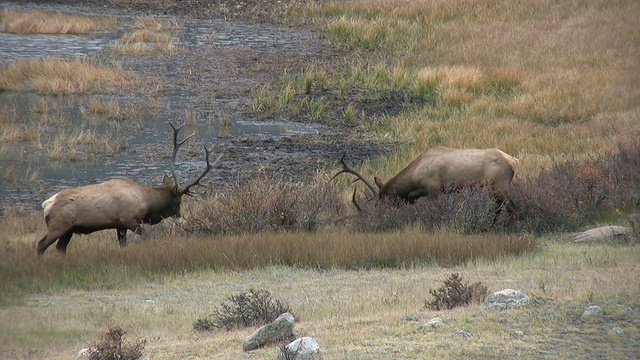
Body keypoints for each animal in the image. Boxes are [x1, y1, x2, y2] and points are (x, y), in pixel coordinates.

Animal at [37, 122, 224, 255]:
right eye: (178, 201)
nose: (179, 215)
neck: (147, 202)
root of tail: (46, 204)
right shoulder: (130, 220)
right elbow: (144, 236)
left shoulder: (120, 225)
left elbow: (123, 245)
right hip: (58, 225)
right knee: (41, 244)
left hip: (68, 230)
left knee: (61, 248)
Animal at [332, 146, 516, 214]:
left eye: (385, 200)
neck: (414, 177)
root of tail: (514, 161)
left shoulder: (434, 189)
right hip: (494, 189)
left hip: (498, 186)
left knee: (510, 207)